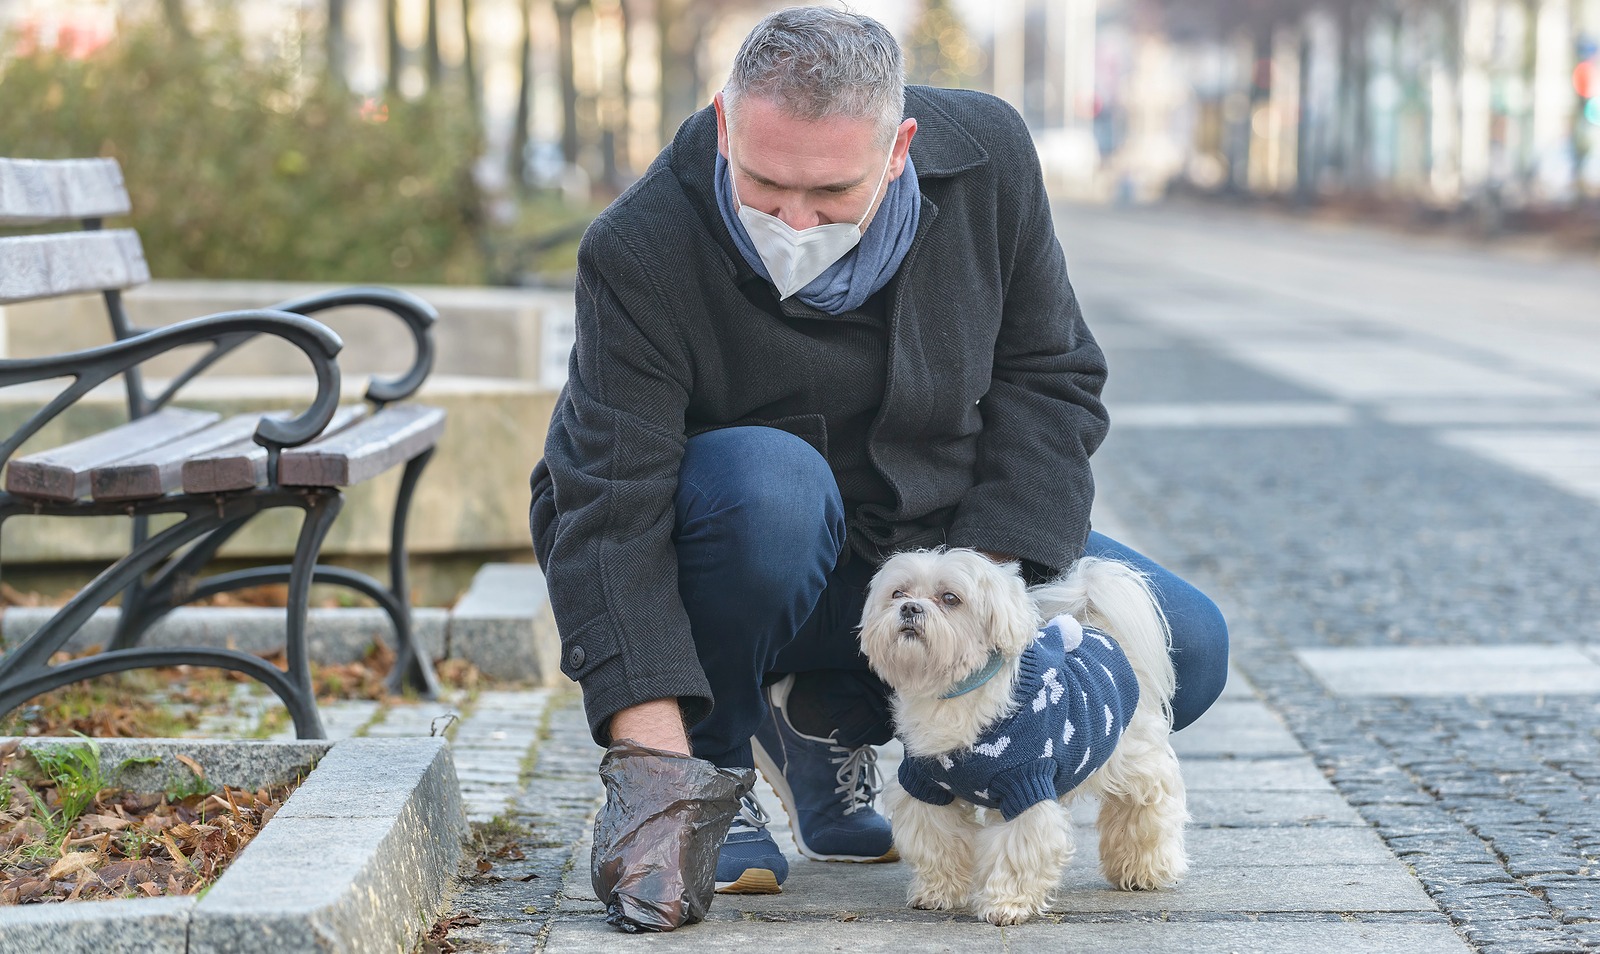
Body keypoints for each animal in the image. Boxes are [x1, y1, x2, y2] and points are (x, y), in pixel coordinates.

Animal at [864, 547, 1190, 928]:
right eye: (897, 593)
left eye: (950, 598)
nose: (909, 608)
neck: (954, 699)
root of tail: (1103, 633)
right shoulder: (926, 786)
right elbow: (937, 843)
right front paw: (937, 892)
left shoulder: (1026, 784)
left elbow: (1016, 850)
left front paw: (1006, 904)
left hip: (1134, 759)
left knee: (1145, 808)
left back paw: (1143, 870)